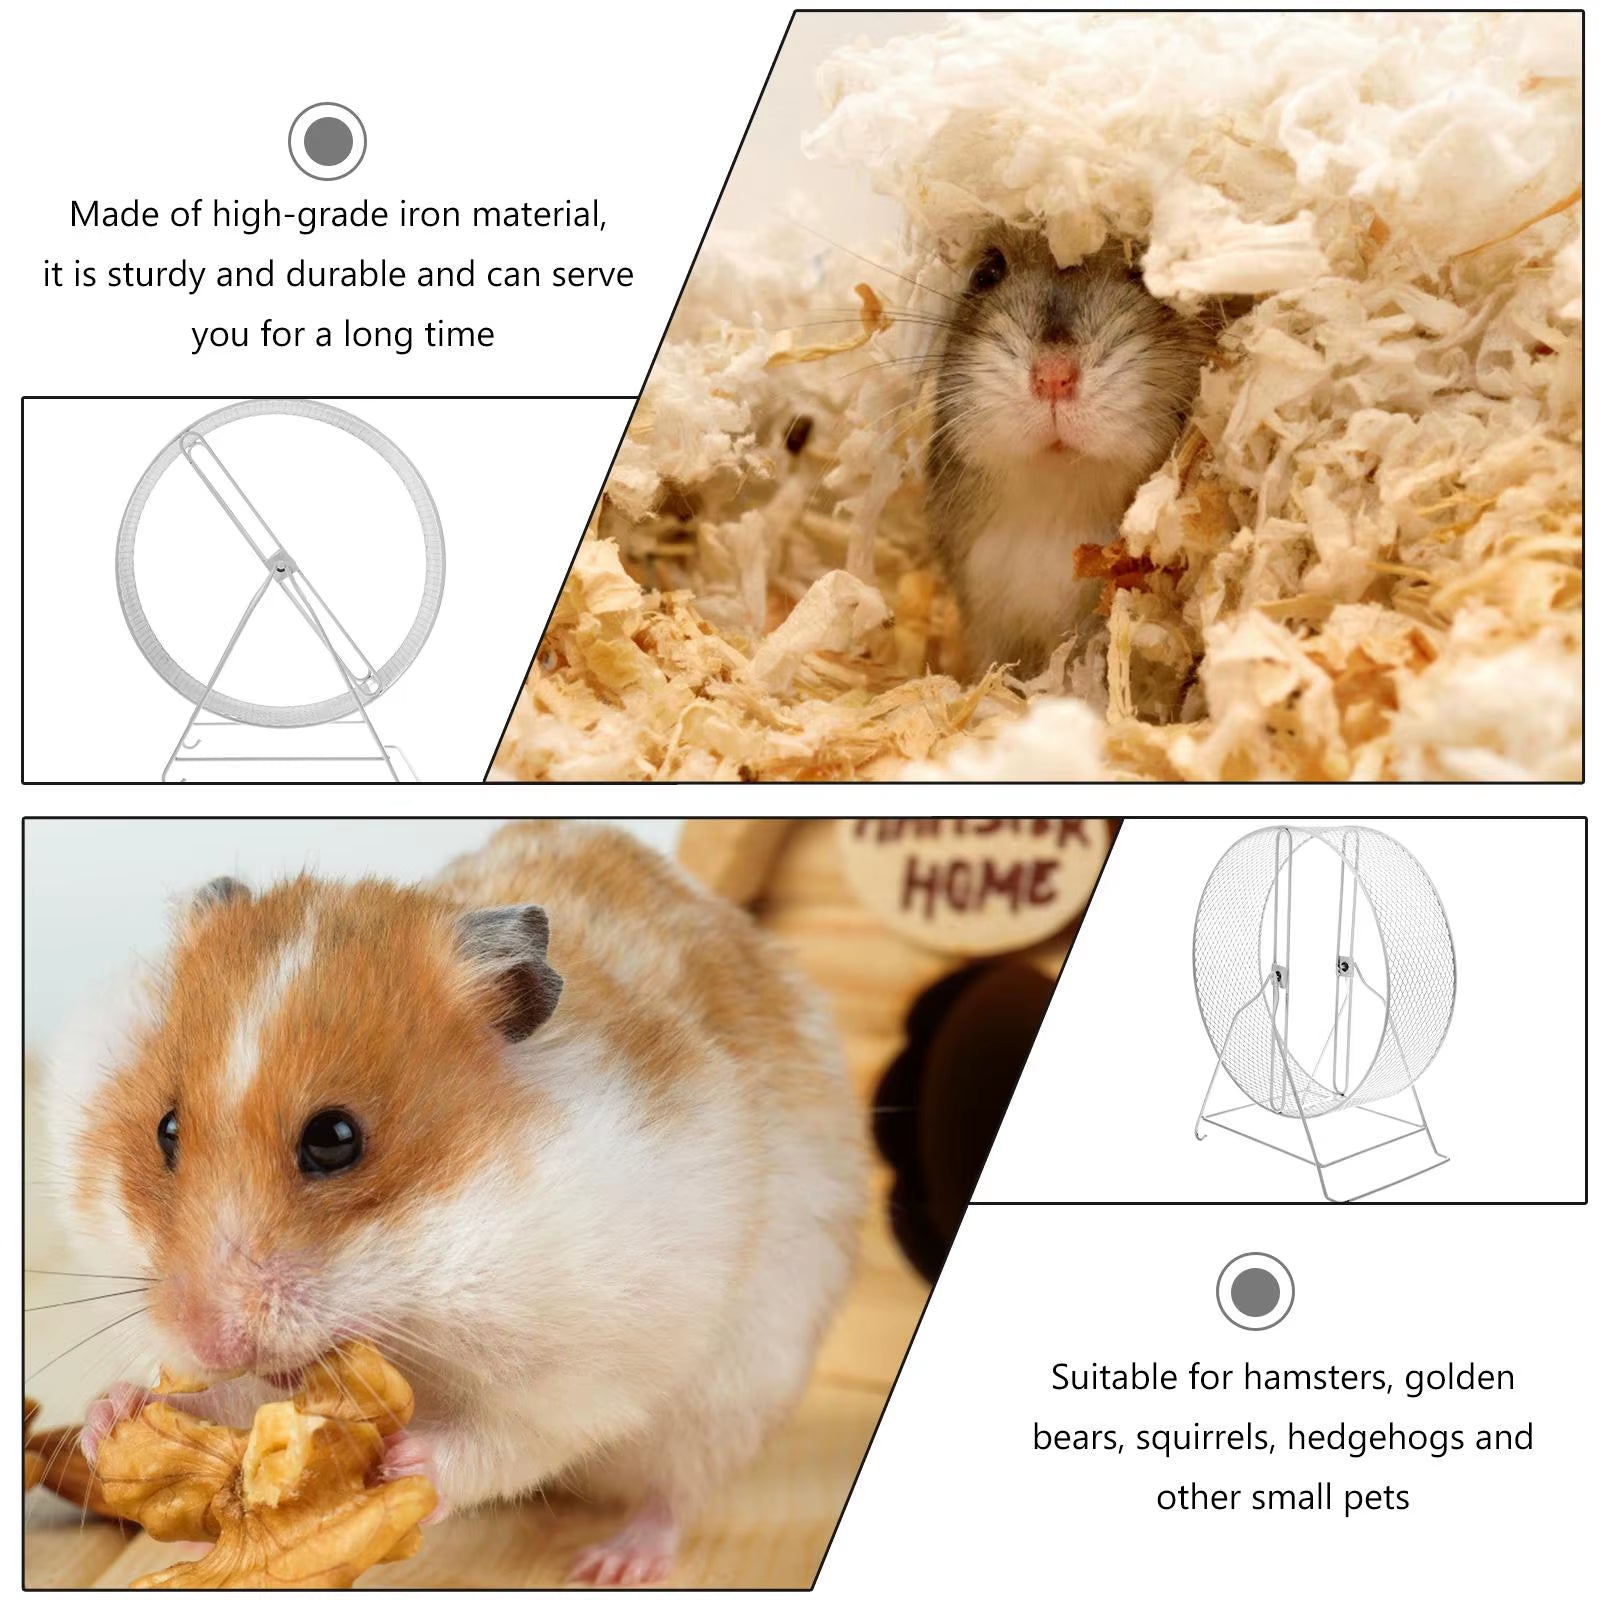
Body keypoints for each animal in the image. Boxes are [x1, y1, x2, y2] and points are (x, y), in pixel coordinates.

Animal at [45, 821, 865, 1586]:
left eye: (335, 1139)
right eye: (166, 1130)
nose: (205, 1337)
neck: (426, 1284)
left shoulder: (582, 1365)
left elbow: (504, 1443)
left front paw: (403, 1466)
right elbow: (228, 1399)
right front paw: (113, 1413)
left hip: (731, 1396)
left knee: (676, 1494)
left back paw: (614, 1563)